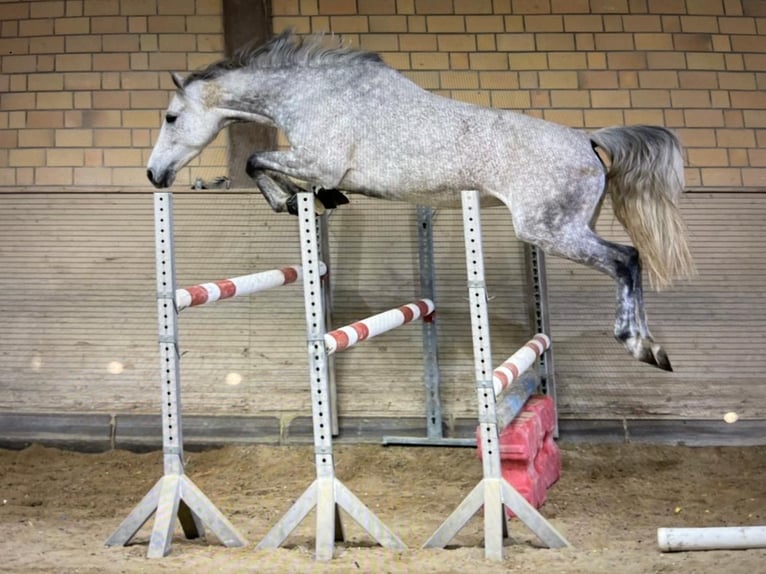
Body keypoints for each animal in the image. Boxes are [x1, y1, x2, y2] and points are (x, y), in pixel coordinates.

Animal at [146, 30, 695, 372]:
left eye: (172, 117)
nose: (154, 175)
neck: (312, 93)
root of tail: (587, 139)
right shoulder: (312, 163)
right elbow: (269, 166)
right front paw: (317, 200)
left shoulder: (316, 160)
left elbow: (255, 160)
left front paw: (291, 200)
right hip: (568, 228)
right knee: (630, 260)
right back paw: (653, 347)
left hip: (551, 231)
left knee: (627, 259)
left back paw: (642, 347)